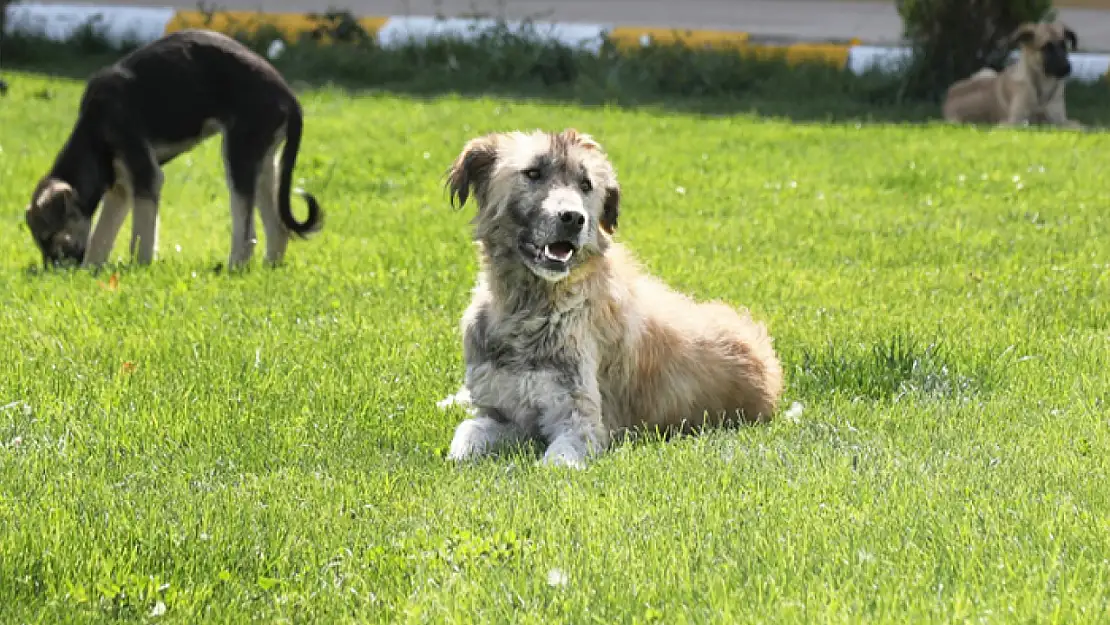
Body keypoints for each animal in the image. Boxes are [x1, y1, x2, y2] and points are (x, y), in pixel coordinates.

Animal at [23, 28, 324, 268]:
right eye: (40, 242)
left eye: (51, 236)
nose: (55, 271)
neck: (94, 130)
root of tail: (289, 97)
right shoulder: (121, 188)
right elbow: (100, 238)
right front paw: (90, 271)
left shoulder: (146, 178)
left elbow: (140, 238)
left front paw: (139, 270)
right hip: (264, 163)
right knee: (278, 229)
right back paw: (268, 267)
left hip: (239, 155)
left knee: (248, 233)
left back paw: (233, 269)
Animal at [437, 128, 785, 470]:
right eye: (533, 173)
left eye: (586, 185)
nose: (573, 218)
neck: (531, 307)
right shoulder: (499, 411)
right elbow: (467, 435)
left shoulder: (581, 421)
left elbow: (555, 463)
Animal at [941, 21, 1078, 129]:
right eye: (1046, 47)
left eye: (1064, 46)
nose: (1067, 68)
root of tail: (948, 95)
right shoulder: (1013, 122)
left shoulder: (1060, 120)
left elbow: (1077, 125)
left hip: (988, 72)